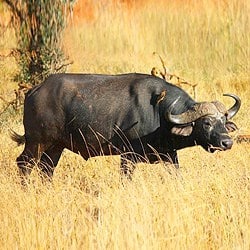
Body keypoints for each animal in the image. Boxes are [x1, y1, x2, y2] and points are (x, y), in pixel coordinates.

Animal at [10, 73, 241, 180]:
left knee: (46, 169)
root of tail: (34, 91)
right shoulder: (128, 157)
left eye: (223, 122)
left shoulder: (169, 156)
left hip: (56, 146)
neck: (159, 114)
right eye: (207, 123)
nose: (227, 142)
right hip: (36, 142)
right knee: (24, 164)